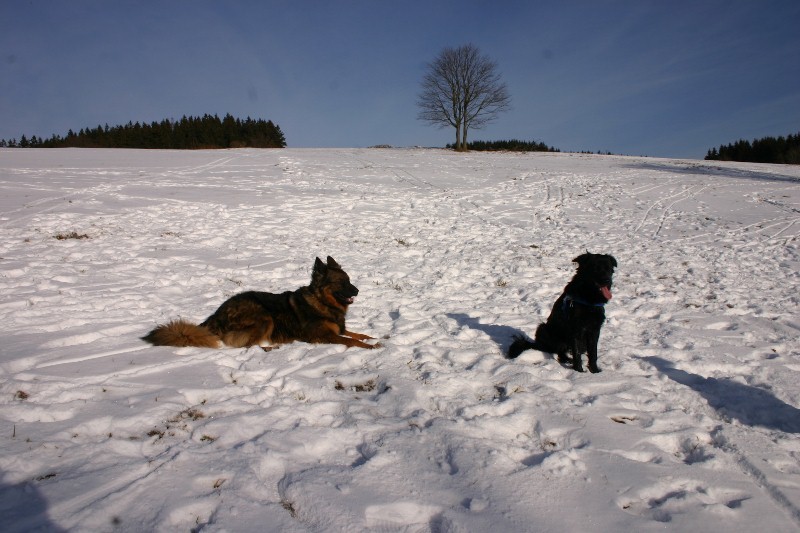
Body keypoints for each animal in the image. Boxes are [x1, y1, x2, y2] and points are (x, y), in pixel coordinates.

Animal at [142, 256, 380, 350]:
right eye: (342, 283)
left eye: (349, 280)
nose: (357, 290)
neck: (322, 302)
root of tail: (216, 316)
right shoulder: (322, 336)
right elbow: (352, 341)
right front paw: (370, 347)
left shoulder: (339, 329)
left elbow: (357, 334)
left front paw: (373, 338)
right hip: (264, 317)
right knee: (248, 346)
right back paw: (271, 347)